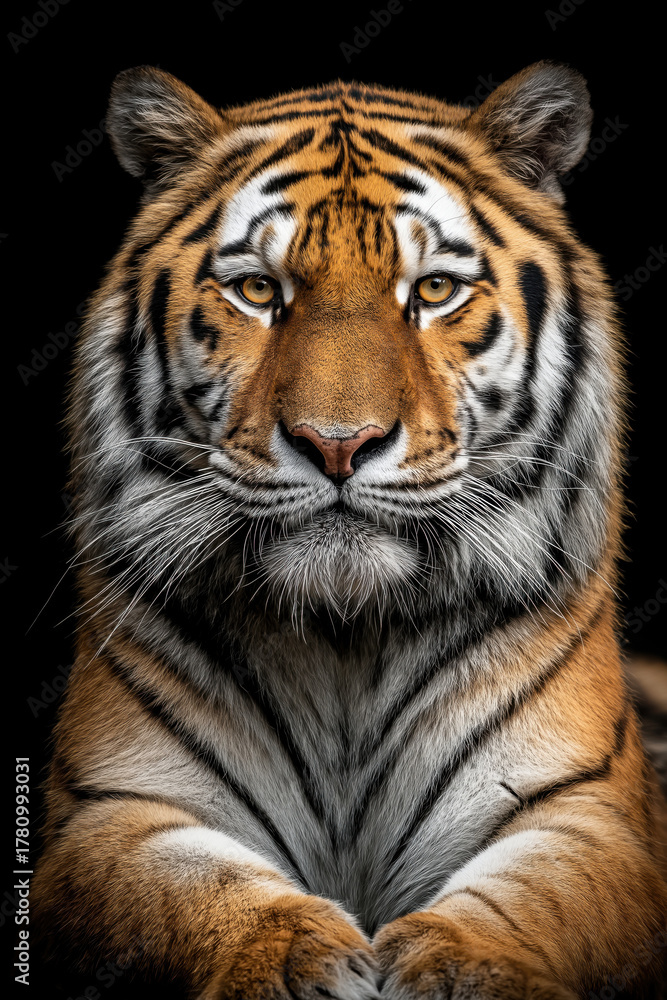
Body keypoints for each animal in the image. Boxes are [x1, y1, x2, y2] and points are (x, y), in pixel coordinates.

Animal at [32, 61, 667, 999]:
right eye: (259, 290)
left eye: (432, 291)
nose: (338, 442)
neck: (346, 635)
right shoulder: (113, 809)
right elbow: (190, 889)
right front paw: (290, 957)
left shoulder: (586, 809)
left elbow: (540, 898)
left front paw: (464, 964)